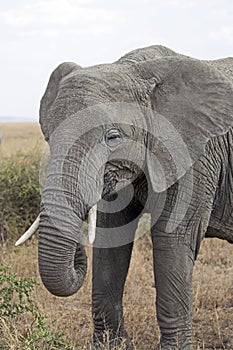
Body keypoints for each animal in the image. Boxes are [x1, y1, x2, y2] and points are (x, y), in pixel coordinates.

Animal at [16, 45, 233, 348]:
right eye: (48, 137)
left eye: (113, 137)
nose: (77, 251)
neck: (136, 69)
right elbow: (111, 237)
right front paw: (111, 345)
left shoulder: (196, 156)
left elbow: (173, 238)